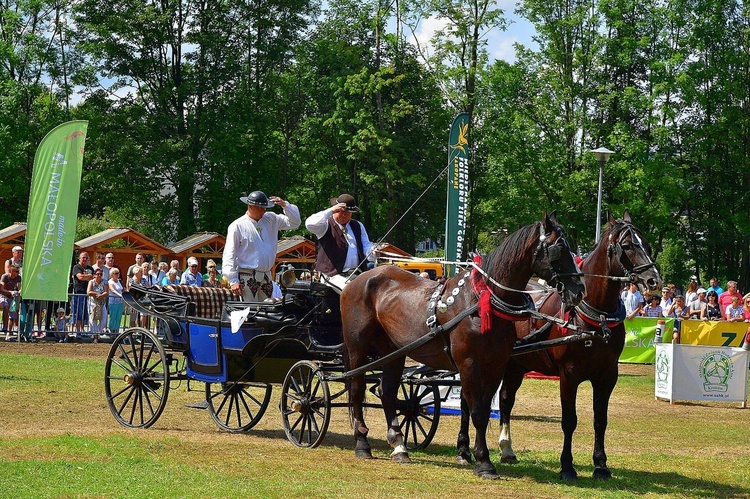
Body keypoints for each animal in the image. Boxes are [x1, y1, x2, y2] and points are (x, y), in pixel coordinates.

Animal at [342, 213, 588, 478]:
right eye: (558, 249)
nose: (579, 291)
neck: (483, 302)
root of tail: (356, 280)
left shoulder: (495, 365)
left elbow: (481, 409)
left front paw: (476, 455)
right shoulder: (469, 363)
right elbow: (477, 412)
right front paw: (483, 462)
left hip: (394, 352)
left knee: (386, 390)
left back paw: (399, 447)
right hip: (357, 349)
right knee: (356, 388)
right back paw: (362, 443)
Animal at [500, 211, 664, 480]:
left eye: (648, 246)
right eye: (628, 245)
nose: (654, 282)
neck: (596, 318)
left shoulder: (607, 376)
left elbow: (600, 420)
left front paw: (601, 465)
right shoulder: (569, 375)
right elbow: (569, 420)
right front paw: (567, 466)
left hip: (517, 366)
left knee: (505, 399)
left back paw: (507, 449)